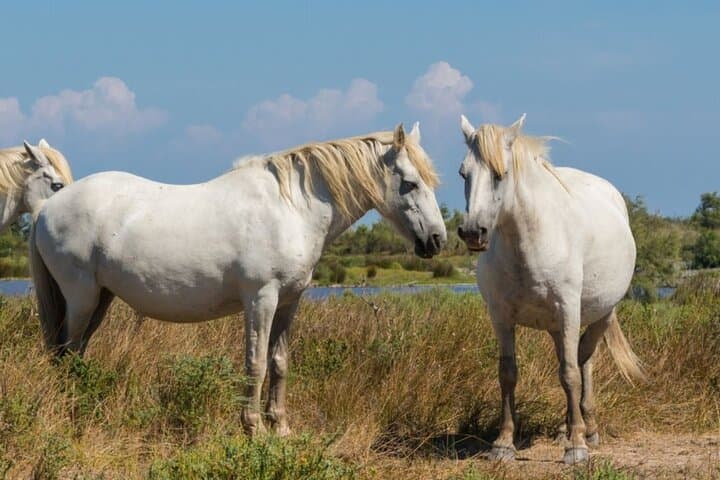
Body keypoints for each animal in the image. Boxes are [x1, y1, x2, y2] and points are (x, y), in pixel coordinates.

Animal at [30, 123, 447, 436]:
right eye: (410, 183)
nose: (437, 240)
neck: (290, 208)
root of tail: (46, 208)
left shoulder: (289, 301)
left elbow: (279, 362)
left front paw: (280, 428)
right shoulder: (261, 299)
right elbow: (256, 362)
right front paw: (253, 429)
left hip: (101, 297)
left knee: (74, 352)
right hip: (81, 296)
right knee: (66, 350)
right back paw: (71, 414)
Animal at [456, 114, 644, 464]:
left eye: (500, 174)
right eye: (464, 173)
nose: (473, 232)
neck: (530, 241)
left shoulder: (568, 311)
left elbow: (569, 374)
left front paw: (577, 447)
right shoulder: (501, 317)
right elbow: (508, 373)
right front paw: (503, 444)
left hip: (599, 316)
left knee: (583, 361)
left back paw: (587, 429)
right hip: (558, 327)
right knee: (576, 360)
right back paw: (566, 428)